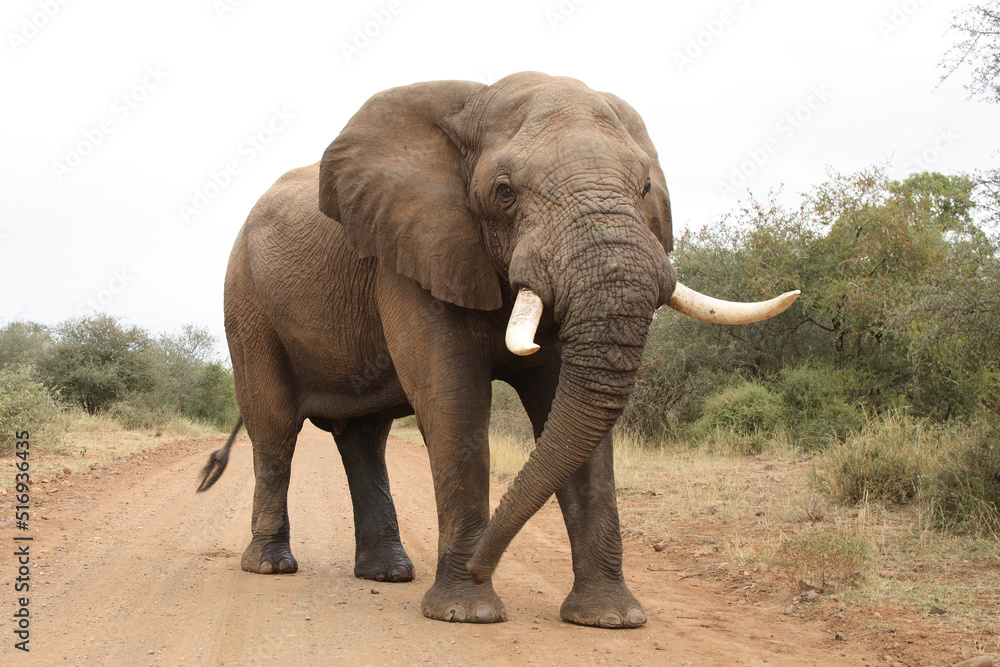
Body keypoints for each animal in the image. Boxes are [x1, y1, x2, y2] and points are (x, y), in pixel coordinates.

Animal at [198, 72, 798, 628]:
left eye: (646, 186)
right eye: (504, 191)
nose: (478, 566)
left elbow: (567, 411)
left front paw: (611, 619)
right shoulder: (414, 252)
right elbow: (454, 403)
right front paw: (466, 612)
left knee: (364, 438)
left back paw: (389, 574)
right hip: (246, 299)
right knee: (275, 427)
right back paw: (271, 567)